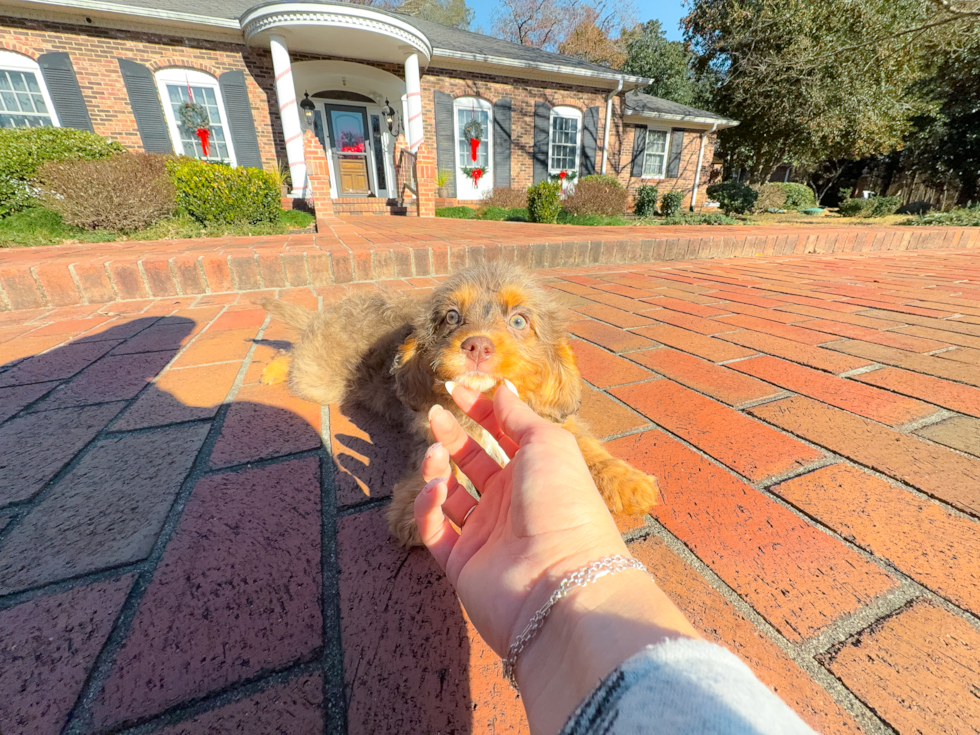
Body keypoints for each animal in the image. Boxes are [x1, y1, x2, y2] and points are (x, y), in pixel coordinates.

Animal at [260, 264, 660, 548]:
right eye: (452, 316)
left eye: (519, 321)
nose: (478, 346)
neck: (486, 404)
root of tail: (320, 316)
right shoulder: (431, 425)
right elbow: (443, 457)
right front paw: (420, 507)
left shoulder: (548, 416)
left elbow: (586, 445)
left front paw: (626, 480)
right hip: (318, 379)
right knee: (292, 354)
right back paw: (271, 368)